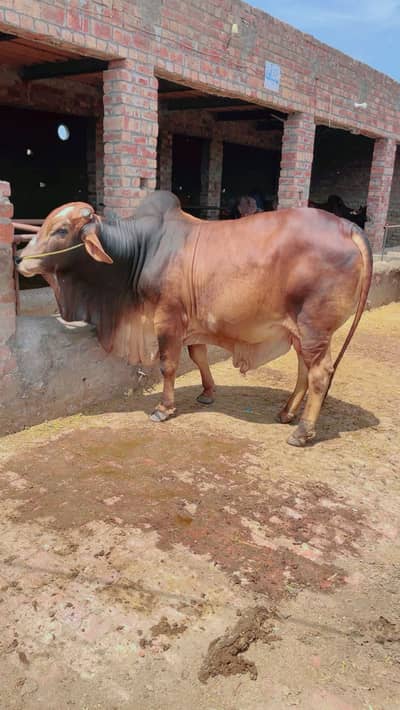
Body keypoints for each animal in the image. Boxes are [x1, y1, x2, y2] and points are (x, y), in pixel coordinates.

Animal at [15, 191, 372, 447]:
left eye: (61, 229)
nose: (20, 258)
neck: (143, 250)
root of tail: (348, 226)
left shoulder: (167, 319)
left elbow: (168, 365)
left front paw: (163, 408)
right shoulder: (193, 324)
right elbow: (198, 356)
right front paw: (207, 393)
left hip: (314, 328)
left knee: (320, 374)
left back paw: (302, 431)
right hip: (301, 331)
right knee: (303, 371)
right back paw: (286, 413)